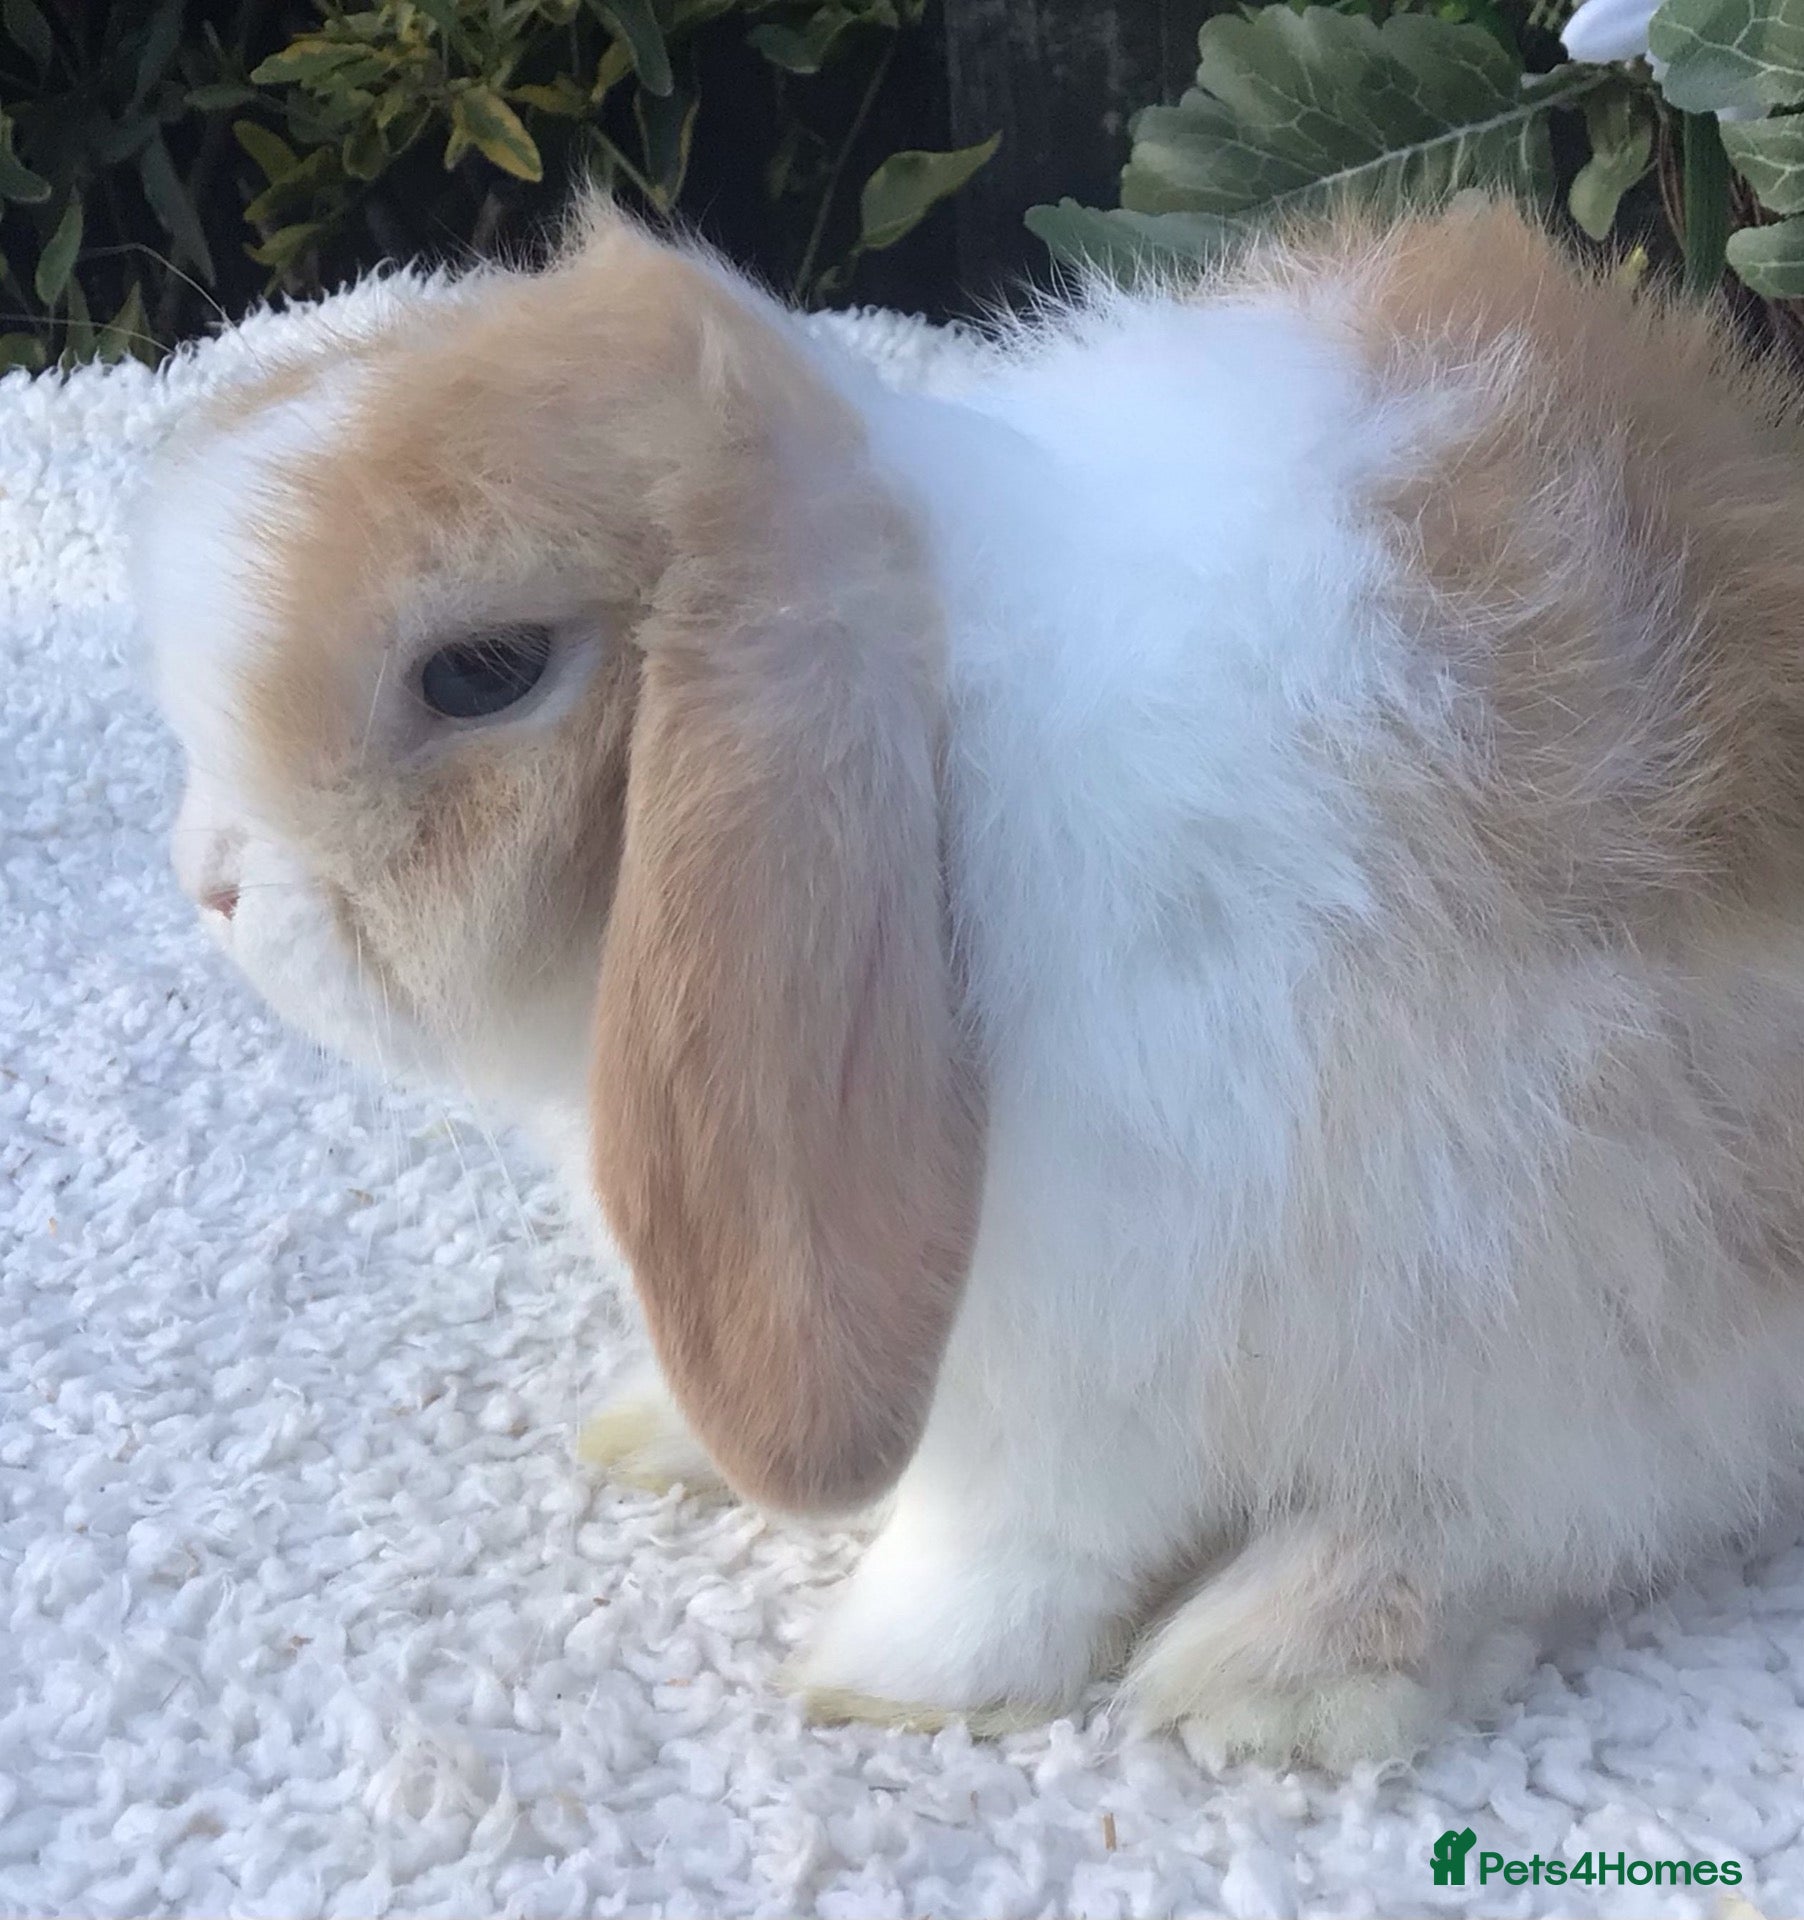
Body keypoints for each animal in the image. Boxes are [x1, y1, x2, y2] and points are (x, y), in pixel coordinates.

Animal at [133, 194, 1804, 1769]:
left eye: (480, 672)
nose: (209, 881)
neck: (932, 759)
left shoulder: (1086, 1348)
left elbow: (1009, 1543)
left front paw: (889, 1681)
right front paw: (660, 1432)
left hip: (1590, 1295)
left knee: (1540, 1514)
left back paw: (1271, 1674)